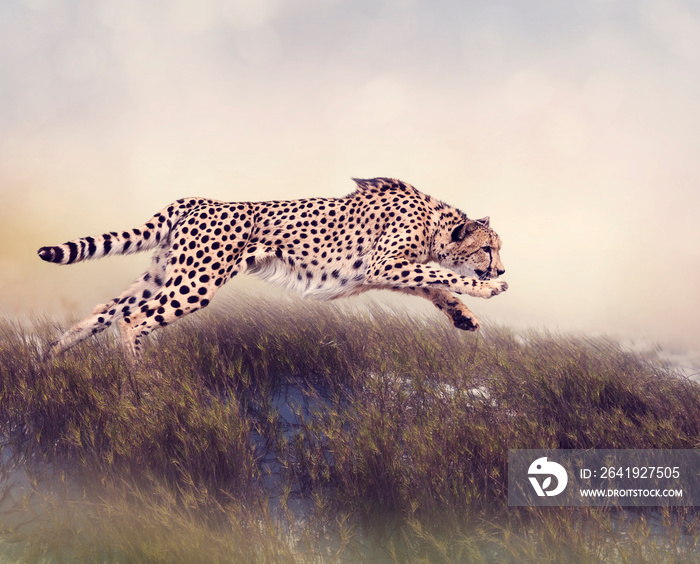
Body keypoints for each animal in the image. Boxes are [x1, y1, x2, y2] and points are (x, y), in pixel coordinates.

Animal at [38, 178, 506, 360]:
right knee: (133, 319)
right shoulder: (385, 263)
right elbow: (442, 276)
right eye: (488, 249)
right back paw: (141, 380)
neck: (436, 224)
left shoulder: (387, 269)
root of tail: (197, 199)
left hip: (162, 275)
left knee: (105, 311)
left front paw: (464, 316)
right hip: (196, 282)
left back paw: (52, 361)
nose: (500, 271)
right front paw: (485, 292)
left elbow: (434, 286)